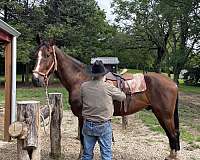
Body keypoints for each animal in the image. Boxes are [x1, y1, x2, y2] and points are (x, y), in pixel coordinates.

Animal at [32, 41, 180, 159]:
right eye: (36, 55)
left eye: (47, 55)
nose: (35, 79)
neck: (80, 79)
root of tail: (173, 83)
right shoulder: (82, 116)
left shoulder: (83, 116)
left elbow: (83, 139)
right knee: (171, 134)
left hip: (165, 115)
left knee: (173, 134)